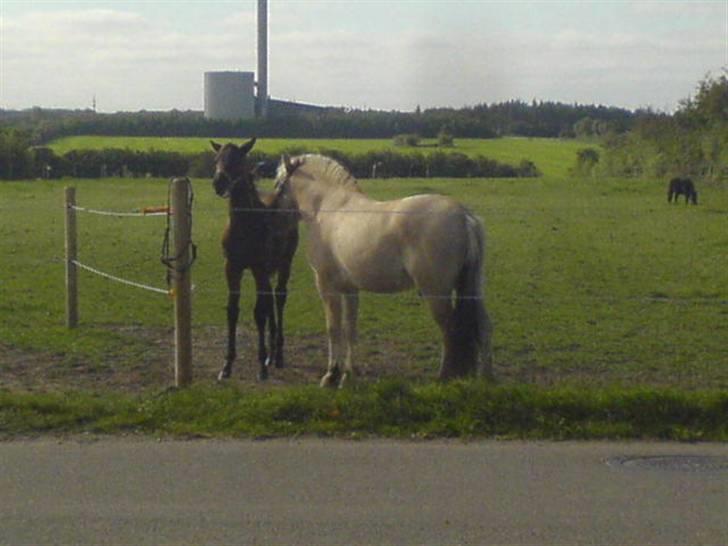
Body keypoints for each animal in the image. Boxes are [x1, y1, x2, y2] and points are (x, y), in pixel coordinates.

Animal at [212, 138, 300, 380]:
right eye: (217, 159)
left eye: (239, 159)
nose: (219, 182)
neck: (245, 224)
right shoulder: (231, 267)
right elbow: (233, 311)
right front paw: (227, 365)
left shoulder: (259, 267)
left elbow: (259, 313)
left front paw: (261, 366)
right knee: (269, 299)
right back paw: (271, 353)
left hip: (284, 262)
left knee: (278, 297)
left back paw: (277, 355)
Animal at [274, 151, 494, 384]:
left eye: (278, 183)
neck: (328, 206)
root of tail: (464, 215)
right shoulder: (350, 289)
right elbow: (349, 328)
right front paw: (348, 373)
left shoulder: (326, 285)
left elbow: (333, 328)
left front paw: (331, 374)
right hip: (472, 289)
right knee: (484, 326)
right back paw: (487, 377)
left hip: (436, 292)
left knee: (450, 329)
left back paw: (444, 377)